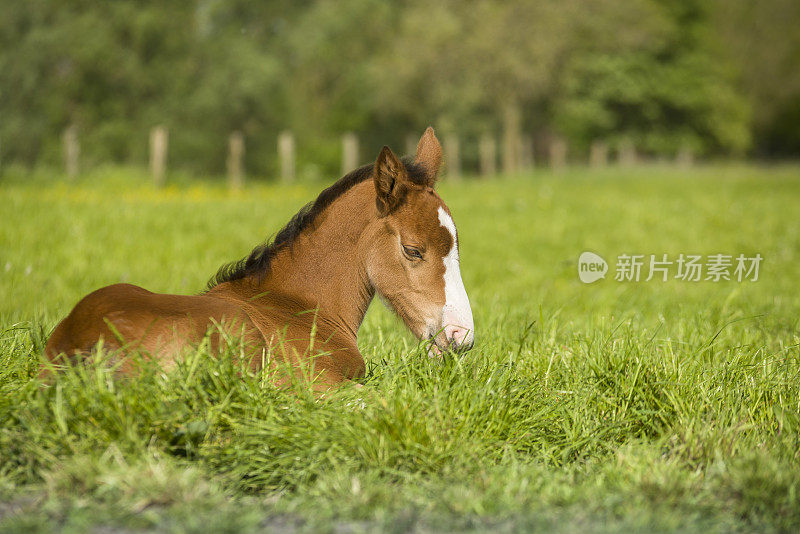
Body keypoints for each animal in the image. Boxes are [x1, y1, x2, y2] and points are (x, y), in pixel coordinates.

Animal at [43, 128, 476, 392]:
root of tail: (80, 344)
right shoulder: (323, 385)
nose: (461, 337)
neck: (298, 304)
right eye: (413, 250)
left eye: (457, 248)